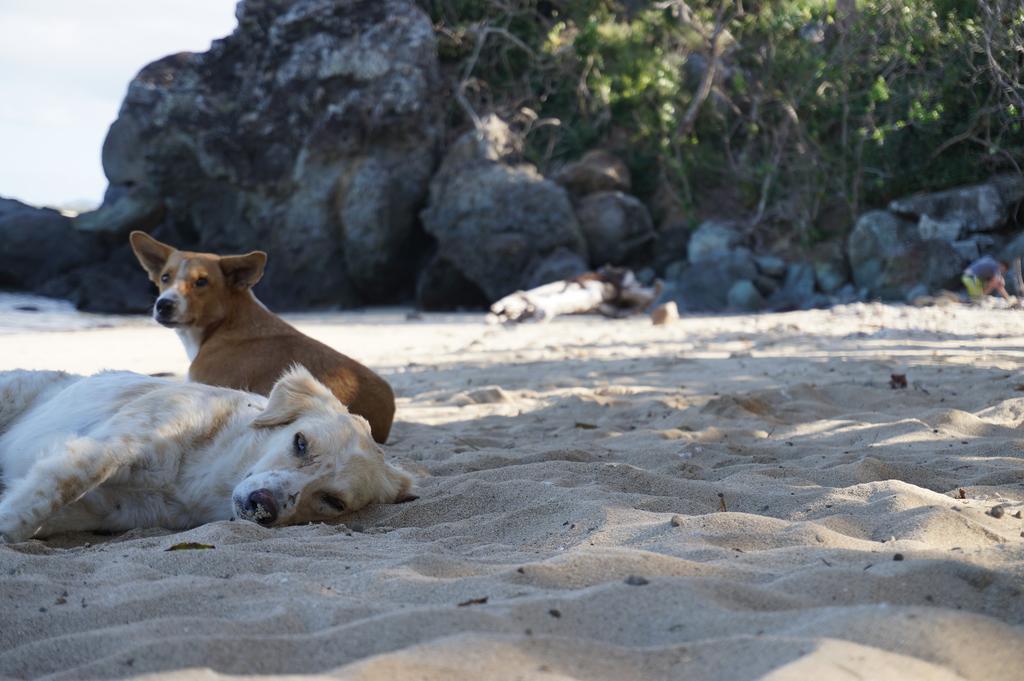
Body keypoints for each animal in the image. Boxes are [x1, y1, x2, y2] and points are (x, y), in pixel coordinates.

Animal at [2, 366, 415, 540]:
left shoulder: (103, 510)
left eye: (332, 501)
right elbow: (49, 495)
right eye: (301, 443)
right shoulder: (110, 446)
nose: (264, 506)